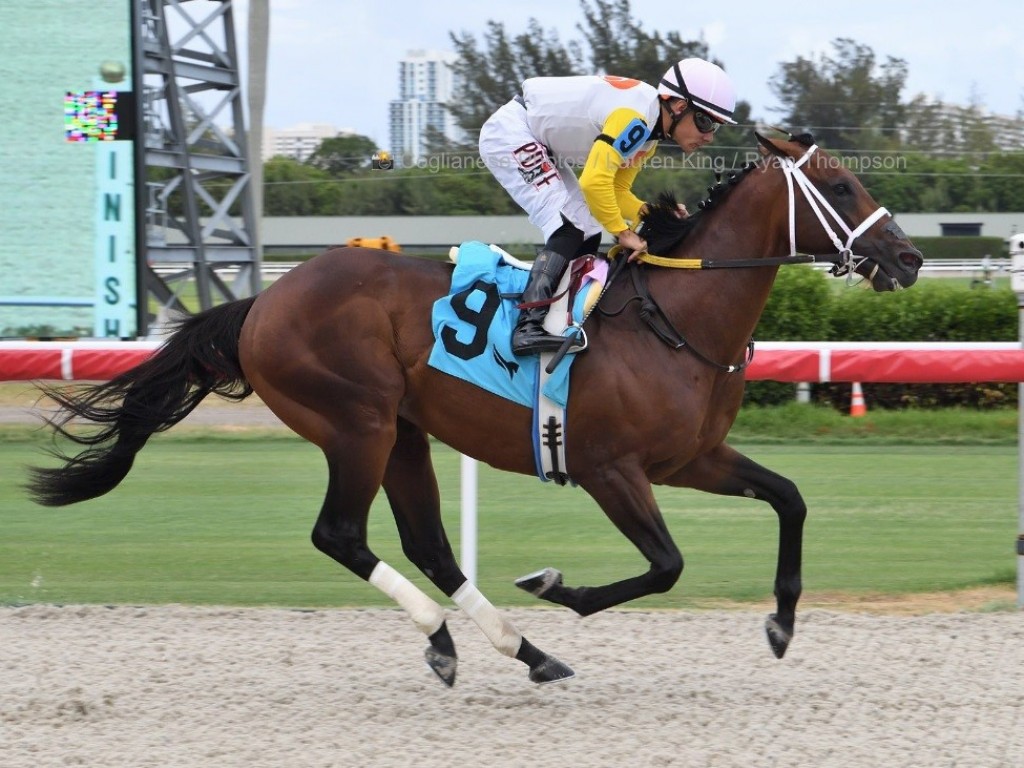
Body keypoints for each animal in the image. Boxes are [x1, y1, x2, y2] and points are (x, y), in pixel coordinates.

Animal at [25, 131, 921, 684]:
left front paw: (782, 624)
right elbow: (666, 565)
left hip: (403, 433)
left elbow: (789, 498)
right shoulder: (610, 469)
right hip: (356, 422)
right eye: (841, 185)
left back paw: (516, 650)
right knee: (340, 534)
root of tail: (262, 303)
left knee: (427, 542)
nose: (909, 259)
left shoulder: (692, 458)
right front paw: (558, 587)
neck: (674, 318)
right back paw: (467, 638)